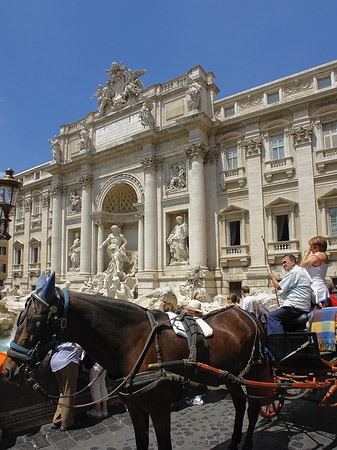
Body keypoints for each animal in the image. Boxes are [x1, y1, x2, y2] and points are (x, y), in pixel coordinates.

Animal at [3, 272, 272, 448]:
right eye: (19, 318)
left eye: (36, 321)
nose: (8, 368)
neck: (135, 340)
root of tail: (247, 314)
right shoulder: (135, 407)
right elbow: (141, 443)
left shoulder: (160, 407)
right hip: (232, 376)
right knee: (240, 405)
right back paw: (234, 441)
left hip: (254, 372)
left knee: (254, 407)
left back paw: (247, 442)